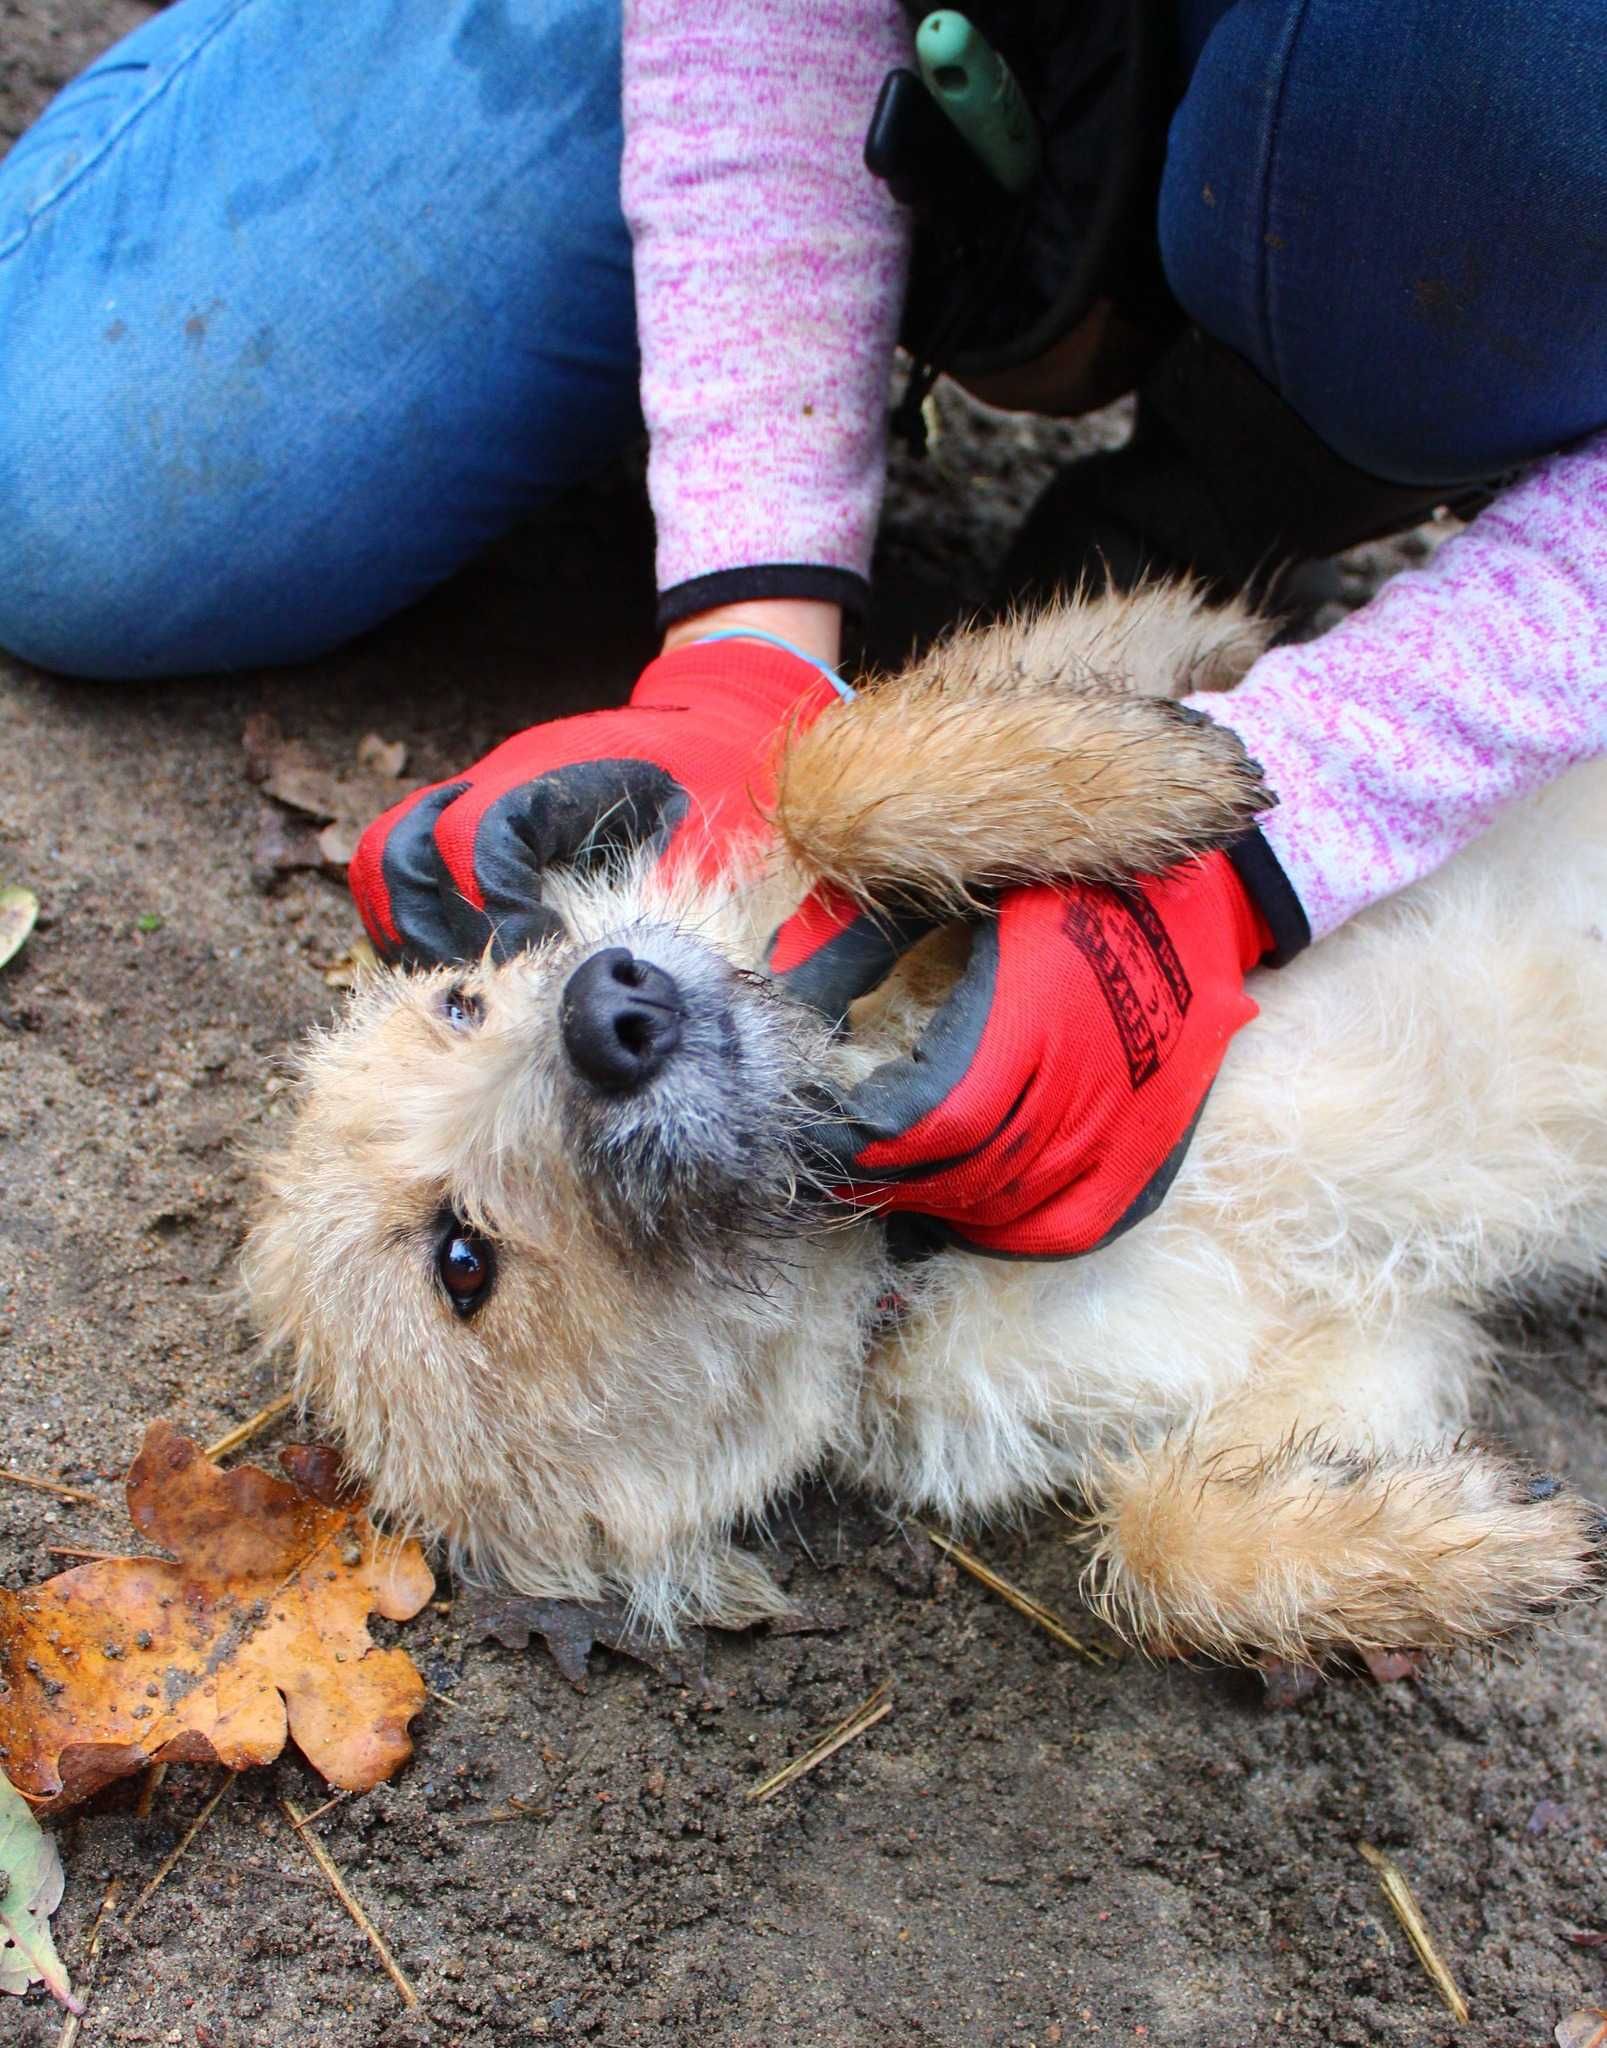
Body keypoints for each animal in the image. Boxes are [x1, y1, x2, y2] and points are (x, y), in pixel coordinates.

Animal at [244, 589, 1604, 1662]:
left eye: (460, 1002)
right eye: (462, 1261)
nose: (609, 1007)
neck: (902, 1246)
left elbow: (828, 763)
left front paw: (1136, 768)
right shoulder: (1365, 1344)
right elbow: (1152, 1539)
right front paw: (1450, 1546)